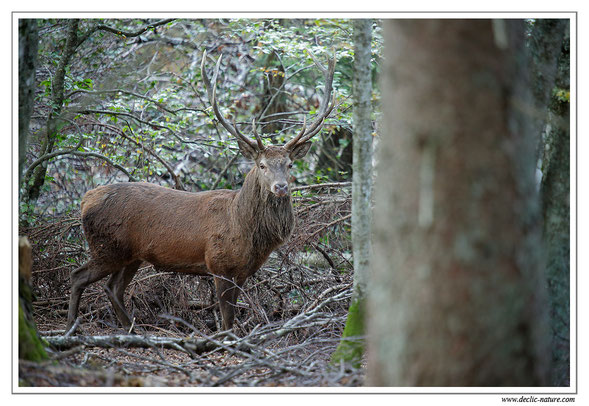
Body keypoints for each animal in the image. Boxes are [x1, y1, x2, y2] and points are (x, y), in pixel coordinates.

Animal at [65, 49, 336, 334]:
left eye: (289, 164)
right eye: (261, 165)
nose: (281, 187)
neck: (244, 227)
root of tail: (85, 200)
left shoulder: (242, 272)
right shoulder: (218, 263)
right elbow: (227, 319)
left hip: (130, 255)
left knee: (113, 288)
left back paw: (131, 330)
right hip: (106, 246)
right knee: (78, 276)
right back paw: (72, 326)